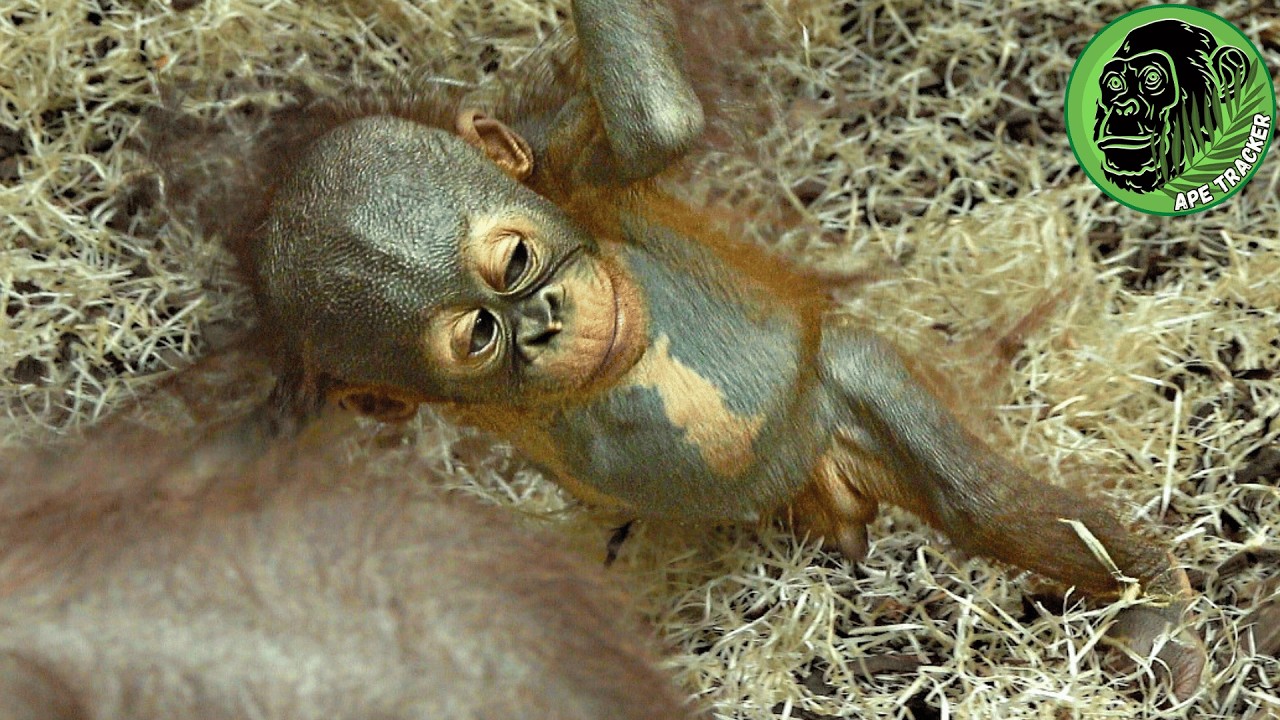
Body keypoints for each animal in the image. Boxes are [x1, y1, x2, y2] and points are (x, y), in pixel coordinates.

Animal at [182, 0, 1206, 697]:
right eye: (479, 334)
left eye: (514, 261)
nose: (541, 320)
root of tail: (815, 489)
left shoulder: (576, 172)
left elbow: (658, 124)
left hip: (840, 400)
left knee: (979, 496)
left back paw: (1155, 604)